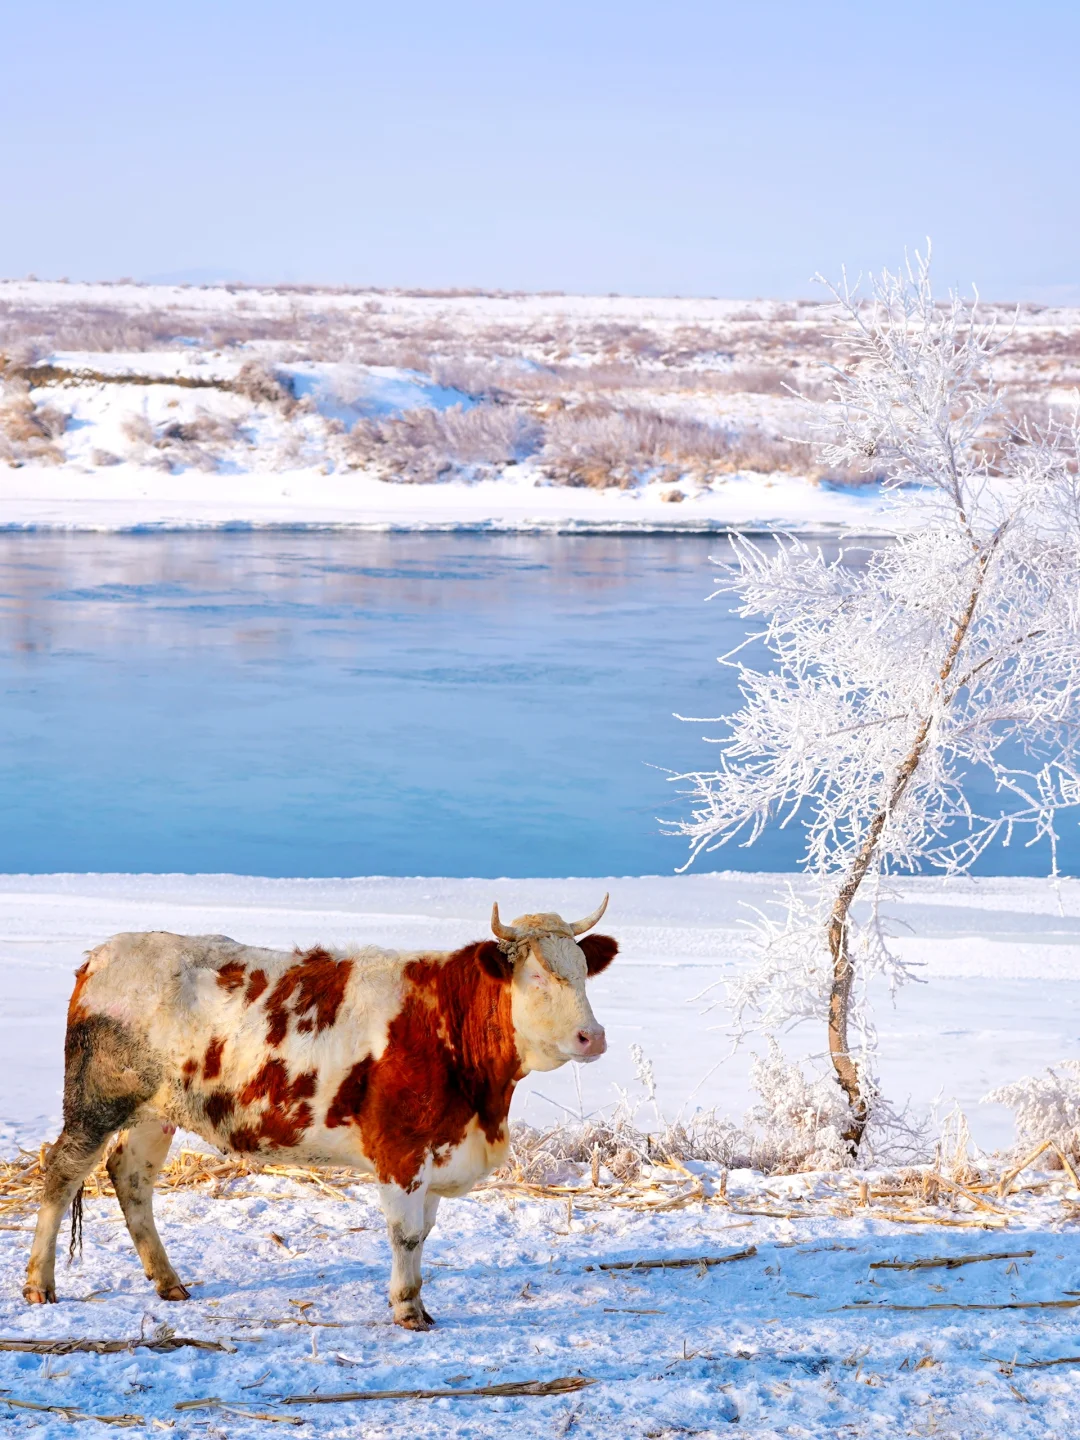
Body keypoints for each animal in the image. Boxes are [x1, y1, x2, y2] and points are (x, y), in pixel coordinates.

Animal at [23, 898, 616, 1324]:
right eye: (536, 976)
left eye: (583, 970)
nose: (593, 1036)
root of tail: (103, 954)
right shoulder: (401, 1151)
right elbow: (405, 1234)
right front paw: (408, 1309)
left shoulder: (436, 1149)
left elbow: (423, 1233)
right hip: (96, 1103)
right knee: (61, 1174)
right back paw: (39, 1284)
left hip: (154, 1112)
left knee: (131, 1179)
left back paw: (169, 1282)